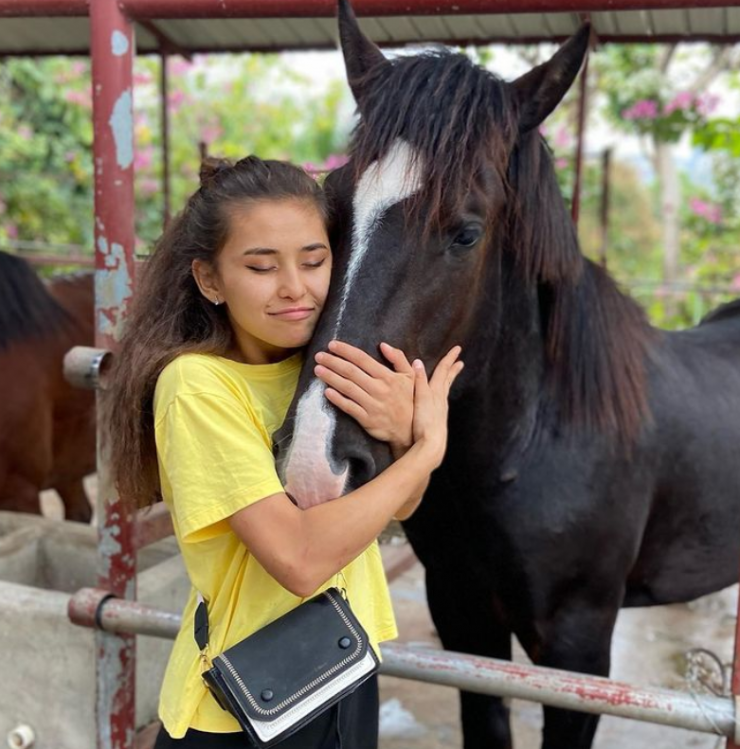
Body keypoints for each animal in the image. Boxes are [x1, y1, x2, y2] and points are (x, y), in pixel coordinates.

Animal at [274, 4, 740, 748]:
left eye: (467, 232)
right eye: (333, 206)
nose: (317, 464)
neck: (530, 445)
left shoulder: (579, 654)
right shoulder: (467, 621)